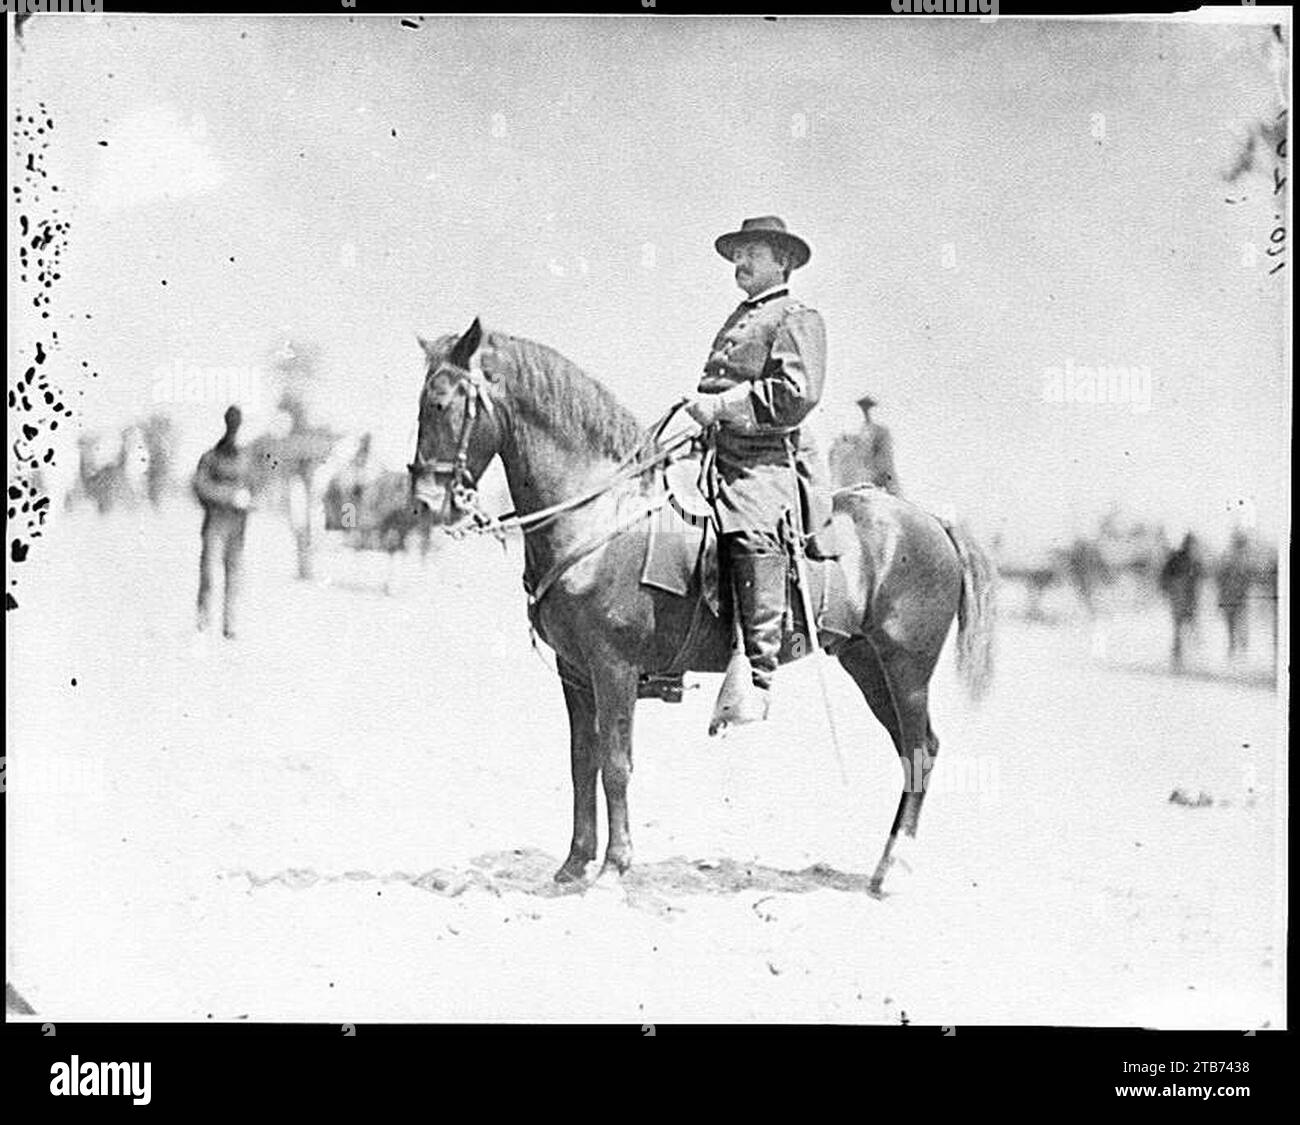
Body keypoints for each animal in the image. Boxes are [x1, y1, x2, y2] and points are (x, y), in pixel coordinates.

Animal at [410, 318, 998, 894]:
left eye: (439, 403)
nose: (423, 503)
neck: (599, 517)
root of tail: (930, 521)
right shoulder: (574, 671)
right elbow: (582, 762)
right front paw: (574, 864)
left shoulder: (613, 667)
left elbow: (615, 765)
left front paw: (614, 868)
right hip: (867, 665)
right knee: (911, 751)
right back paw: (884, 866)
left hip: (906, 670)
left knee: (920, 750)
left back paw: (894, 869)